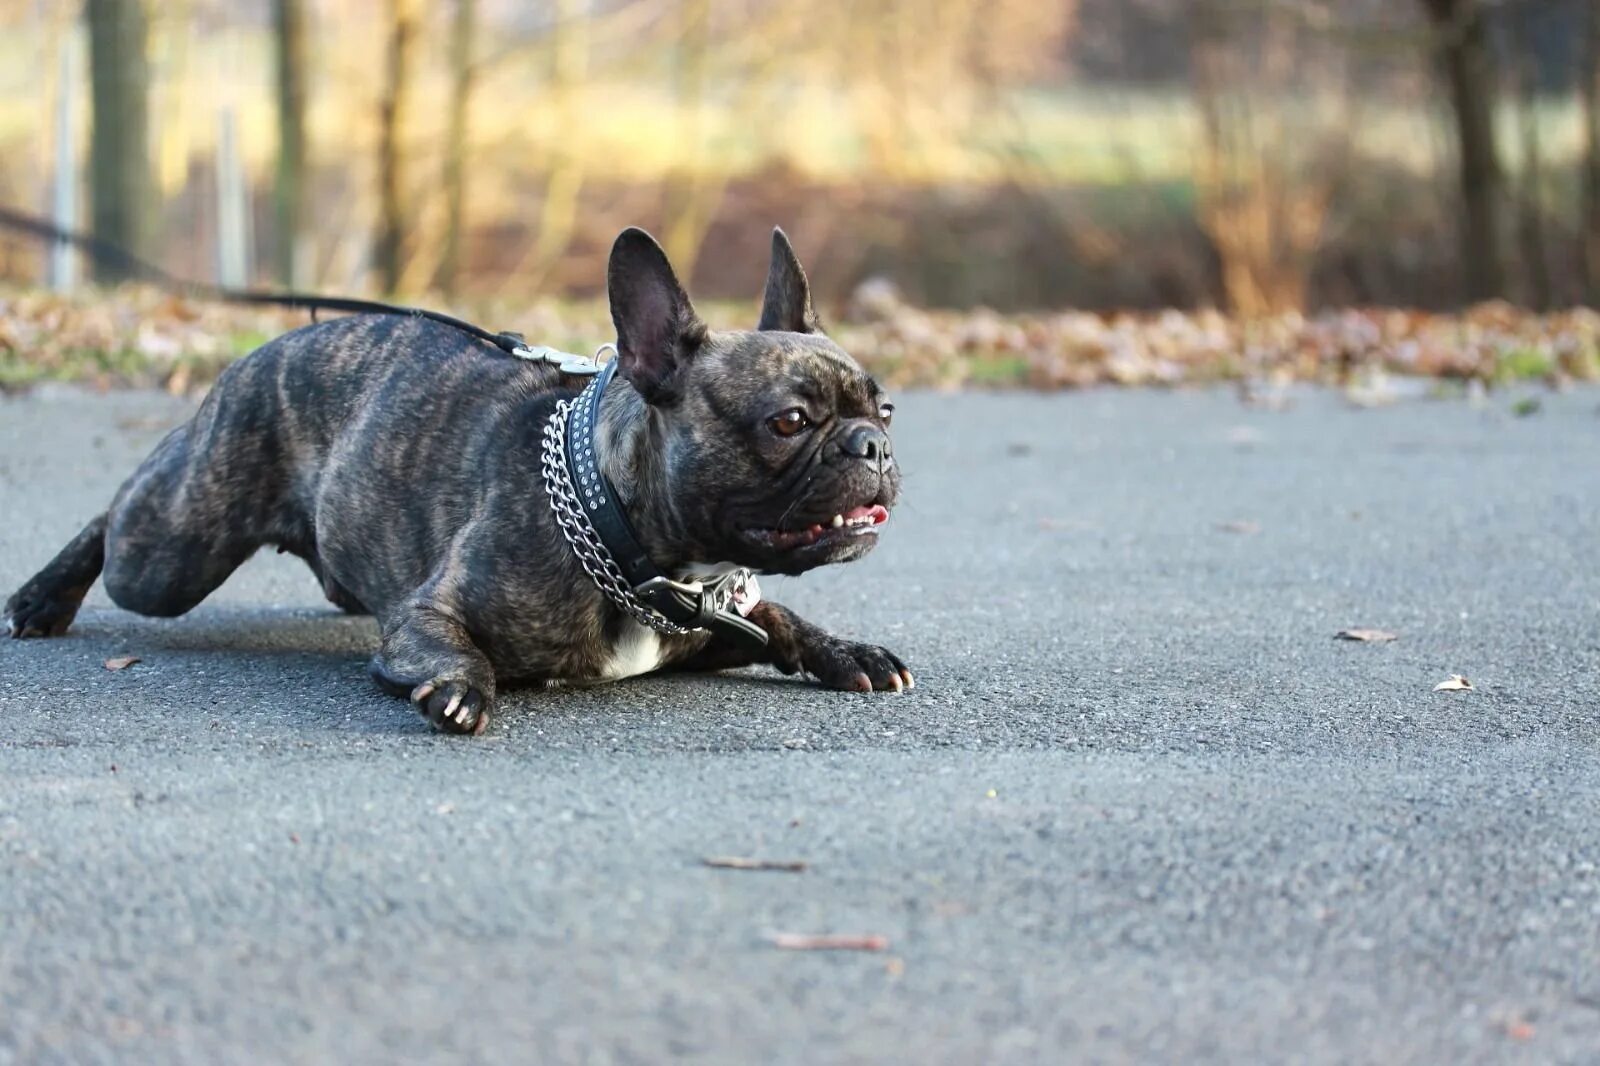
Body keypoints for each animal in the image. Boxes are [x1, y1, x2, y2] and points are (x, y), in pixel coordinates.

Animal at [6, 227, 915, 729]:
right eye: (788, 423)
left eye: (886, 408)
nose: (870, 446)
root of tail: (264, 349)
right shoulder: (425, 615)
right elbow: (450, 647)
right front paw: (457, 688)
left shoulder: (718, 626)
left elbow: (783, 619)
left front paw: (850, 650)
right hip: (174, 550)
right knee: (117, 521)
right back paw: (41, 599)